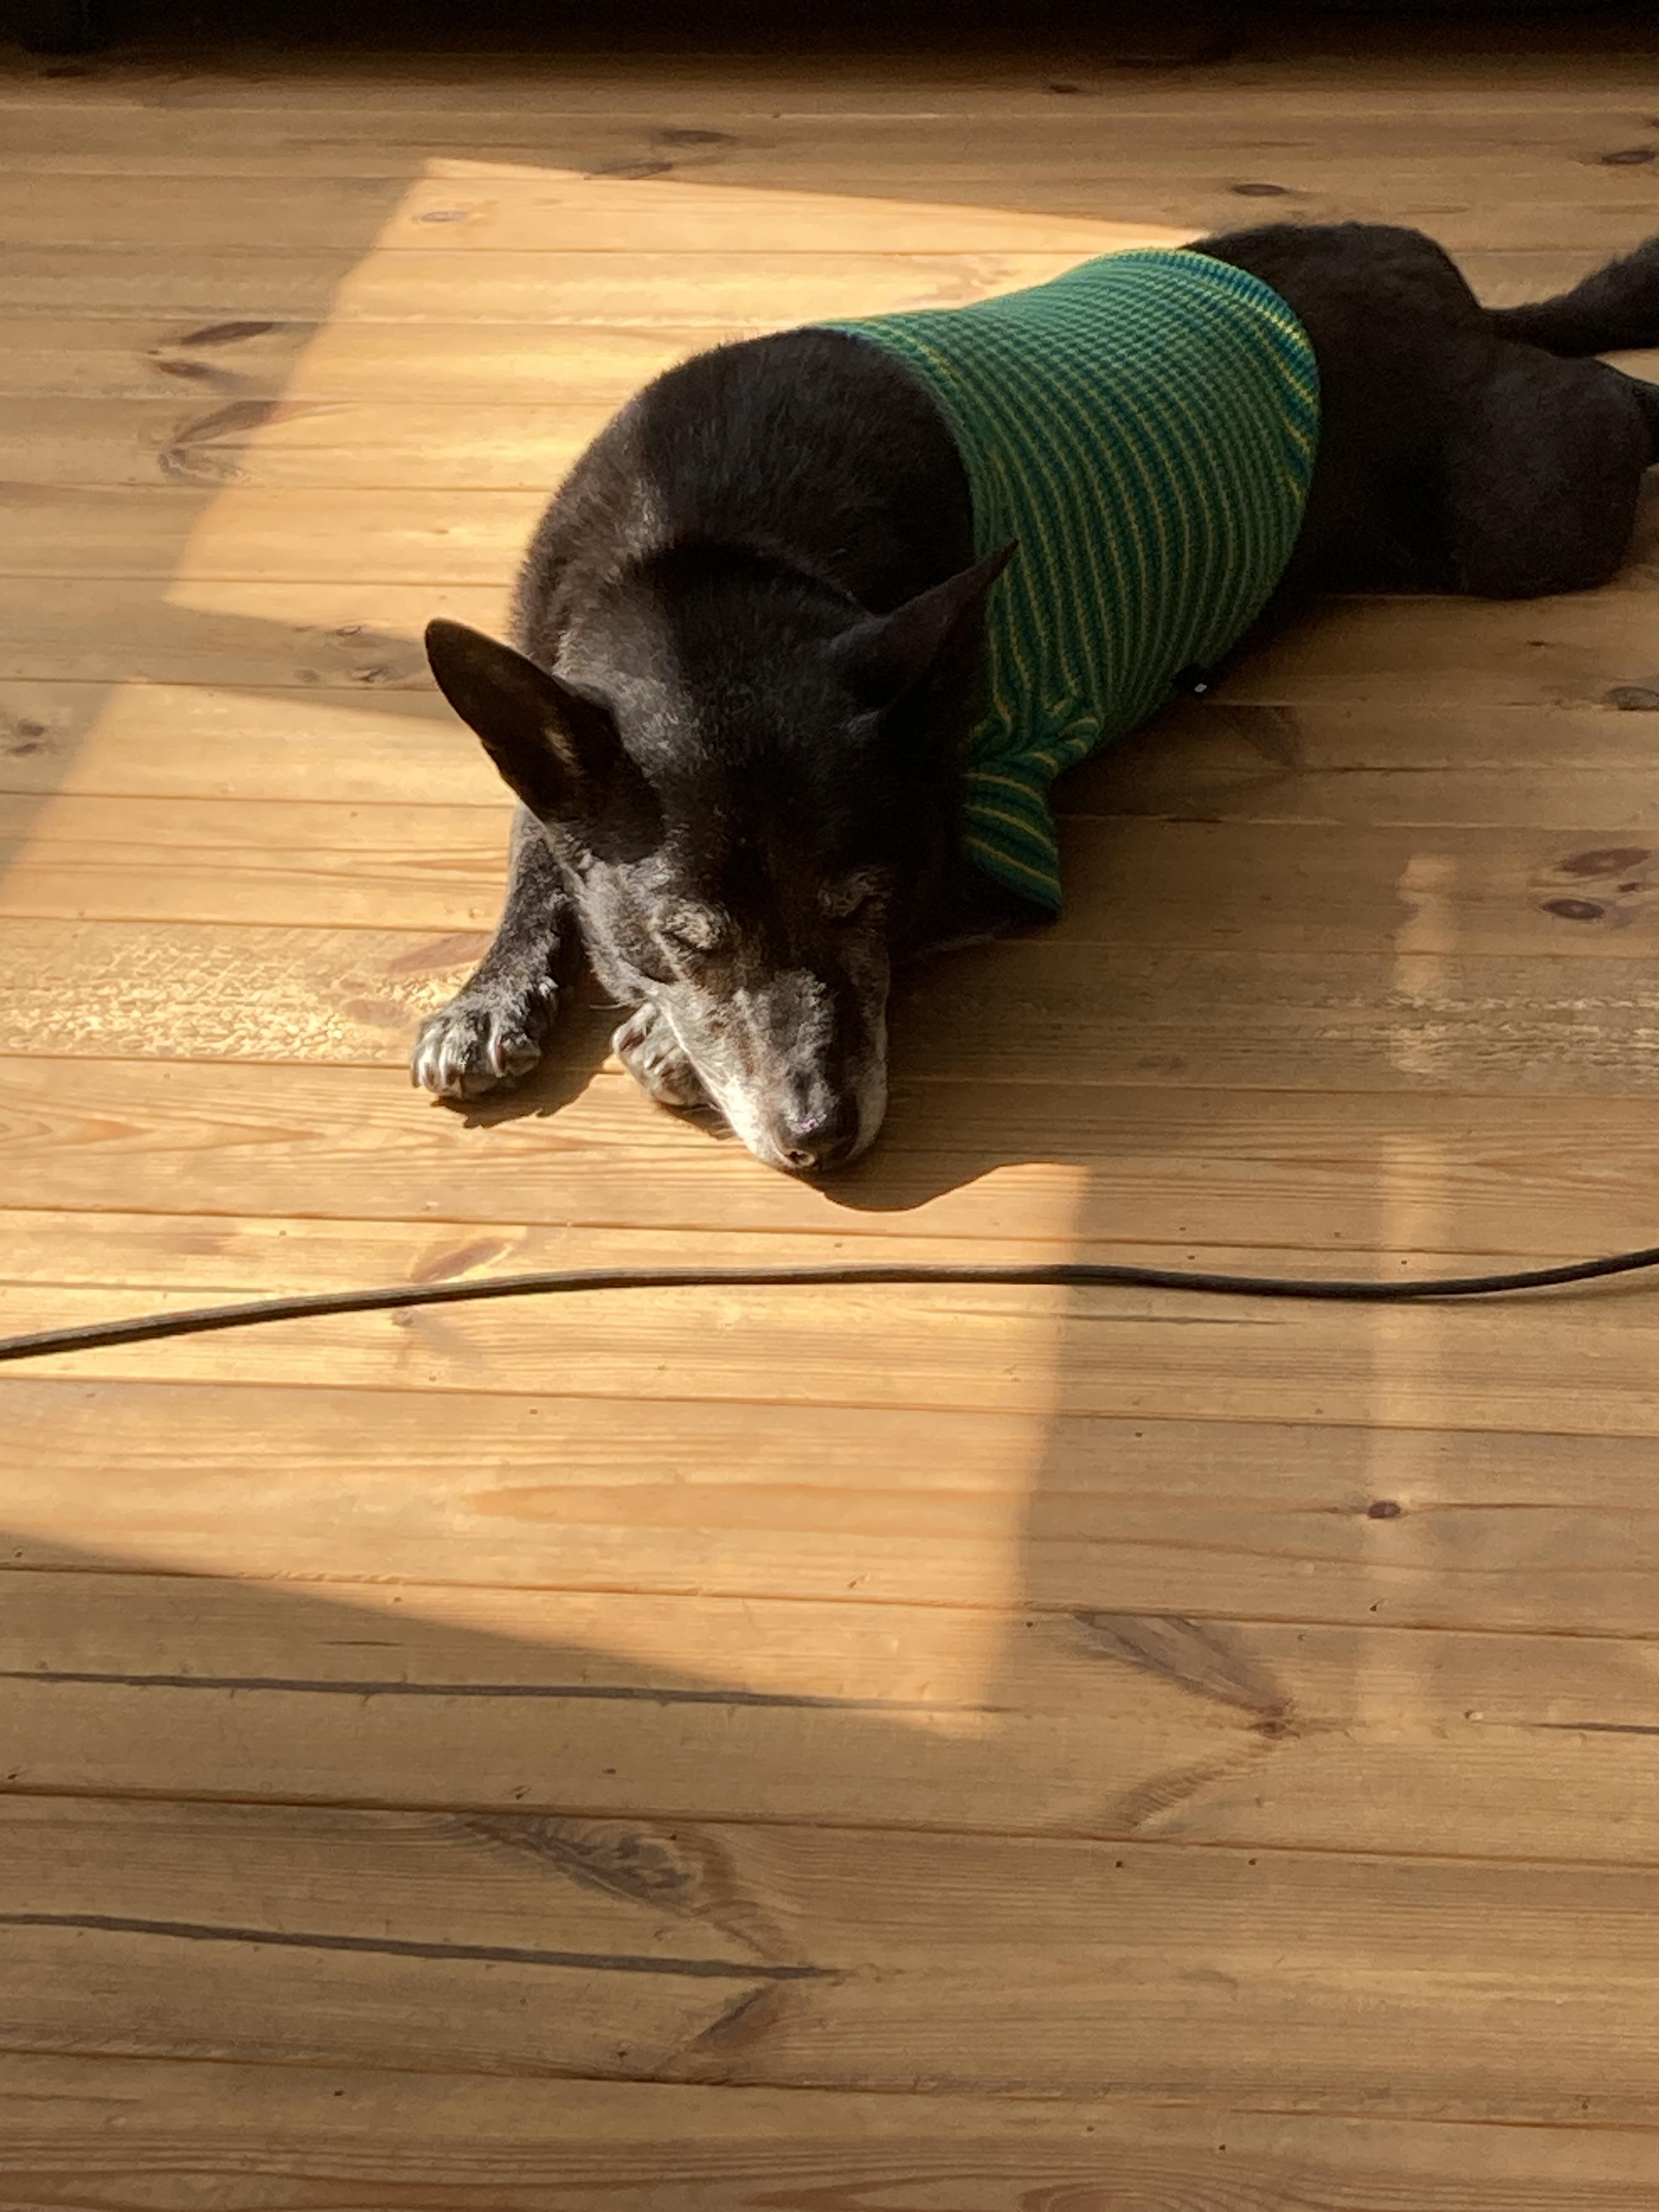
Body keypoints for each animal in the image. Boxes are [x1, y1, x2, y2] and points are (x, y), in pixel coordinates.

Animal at [412, 222, 1659, 1174]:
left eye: (863, 903)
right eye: (688, 937)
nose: (820, 1138)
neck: (702, 562)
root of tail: (1443, 278)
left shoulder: (994, 832)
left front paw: (662, 1042)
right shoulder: (557, 727)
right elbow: (535, 848)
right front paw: (490, 994)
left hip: (1514, 517)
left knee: (1611, 390)